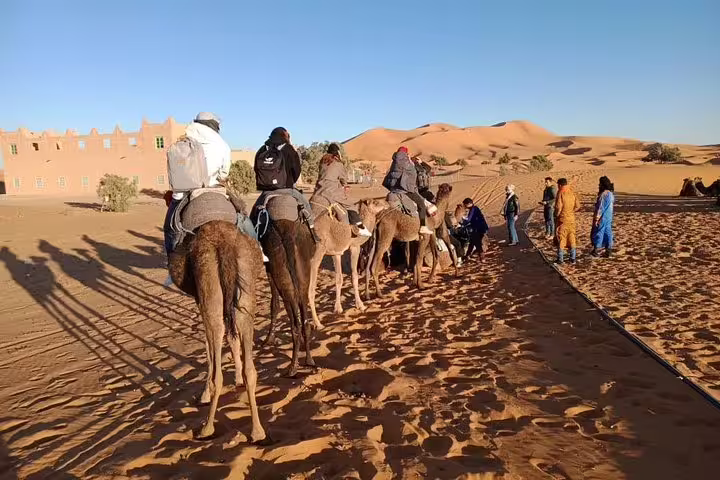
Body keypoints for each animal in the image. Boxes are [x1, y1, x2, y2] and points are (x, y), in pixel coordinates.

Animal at [169, 220, 265, 442]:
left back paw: (207, 428)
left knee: (217, 365)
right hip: (245, 282)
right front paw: (238, 379)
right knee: (249, 359)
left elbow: (208, 347)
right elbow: (232, 338)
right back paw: (257, 431)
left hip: (208, 284)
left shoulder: (199, 299)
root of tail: (224, 243)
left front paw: (203, 395)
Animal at [306, 198, 387, 327]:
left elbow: (339, 279)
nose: (387, 203)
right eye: (376, 202)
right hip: (316, 254)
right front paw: (360, 305)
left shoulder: (336, 253)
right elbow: (354, 276)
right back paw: (318, 324)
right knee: (310, 290)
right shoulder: (354, 246)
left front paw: (338, 308)